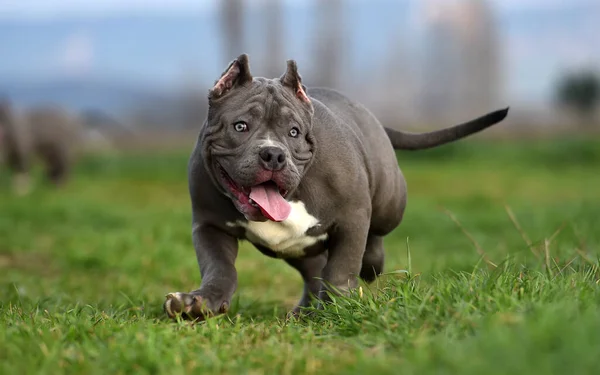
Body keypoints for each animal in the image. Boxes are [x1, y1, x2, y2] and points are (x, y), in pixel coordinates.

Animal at [163, 55, 506, 320]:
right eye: (240, 126)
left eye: (294, 132)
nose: (273, 154)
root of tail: (370, 116)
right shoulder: (209, 225)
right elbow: (220, 267)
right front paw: (200, 301)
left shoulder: (352, 216)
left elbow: (342, 266)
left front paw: (341, 304)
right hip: (297, 249)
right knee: (313, 270)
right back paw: (305, 311)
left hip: (389, 203)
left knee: (374, 237)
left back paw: (366, 269)